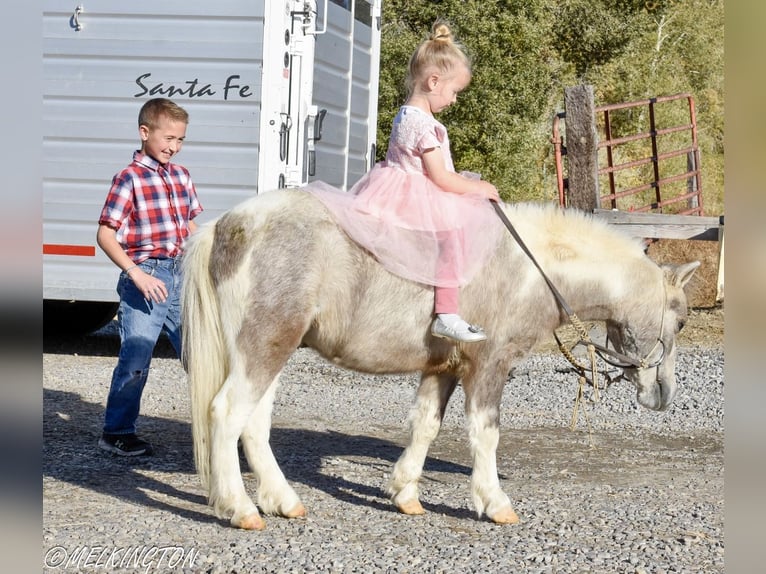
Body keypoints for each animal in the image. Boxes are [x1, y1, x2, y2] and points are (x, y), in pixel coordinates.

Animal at [182, 191, 704, 532]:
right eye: (680, 322)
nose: (664, 395)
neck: (530, 267)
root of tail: (229, 225)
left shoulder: (443, 369)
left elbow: (425, 426)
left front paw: (405, 494)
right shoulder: (490, 365)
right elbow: (485, 433)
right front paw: (494, 502)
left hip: (271, 349)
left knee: (254, 424)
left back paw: (282, 500)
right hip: (264, 347)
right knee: (227, 414)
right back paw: (240, 508)